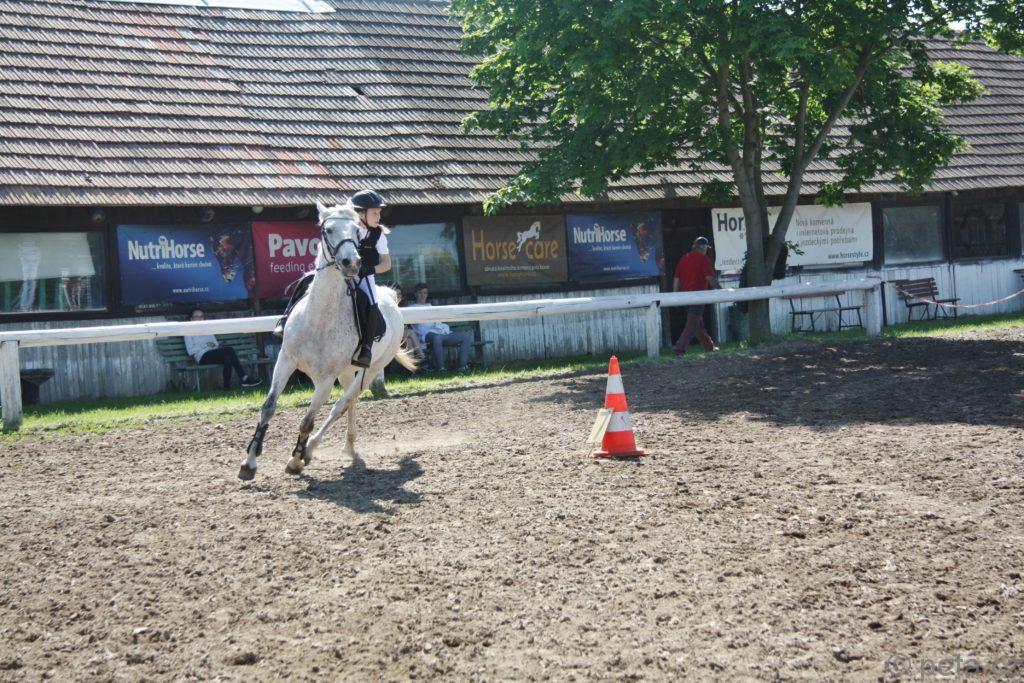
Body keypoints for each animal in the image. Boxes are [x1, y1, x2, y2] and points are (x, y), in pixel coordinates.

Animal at [239, 201, 417, 481]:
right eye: (329, 229)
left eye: (357, 232)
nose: (352, 263)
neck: (319, 319)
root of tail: (390, 297)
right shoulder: (285, 361)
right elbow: (268, 407)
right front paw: (249, 463)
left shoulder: (325, 380)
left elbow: (307, 421)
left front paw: (296, 460)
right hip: (346, 372)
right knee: (350, 402)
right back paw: (348, 447)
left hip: (370, 369)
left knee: (342, 405)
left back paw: (312, 450)